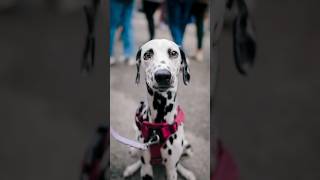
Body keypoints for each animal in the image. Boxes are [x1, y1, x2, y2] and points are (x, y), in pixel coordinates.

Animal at [122, 39, 195, 180]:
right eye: (147, 55)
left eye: (173, 53)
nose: (162, 75)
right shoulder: (146, 168)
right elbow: (143, 164)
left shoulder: (171, 169)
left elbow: (175, 167)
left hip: (186, 146)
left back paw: (187, 173)